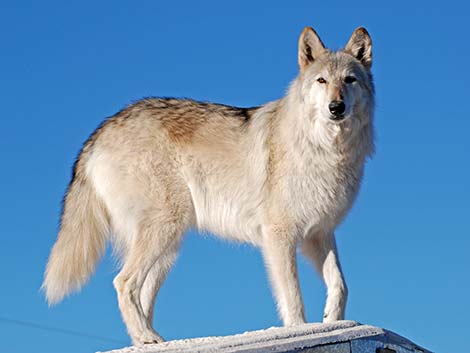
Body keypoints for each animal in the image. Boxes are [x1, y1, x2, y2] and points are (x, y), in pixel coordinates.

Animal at [43, 26, 374, 344]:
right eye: (321, 80)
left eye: (349, 80)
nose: (336, 107)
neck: (325, 148)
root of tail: (102, 129)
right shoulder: (279, 236)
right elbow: (293, 299)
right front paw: (301, 331)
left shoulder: (319, 233)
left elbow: (340, 284)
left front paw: (333, 320)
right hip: (164, 229)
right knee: (123, 283)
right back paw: (148, 336)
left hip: (168, 247)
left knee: (141, 295)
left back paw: (149, 339)